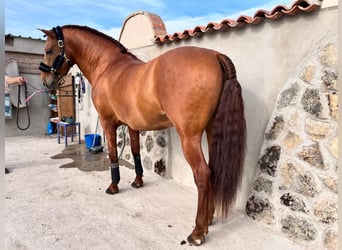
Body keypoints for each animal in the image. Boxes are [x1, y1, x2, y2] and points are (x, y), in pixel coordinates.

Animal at [39, 25, 246, 246]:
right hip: (210, 130)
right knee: (213, 171)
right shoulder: (132, 126)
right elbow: (136, 152)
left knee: (203, 174)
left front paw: (113, 186)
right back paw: (209, 219)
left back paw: (198, 232)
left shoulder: (107, 123)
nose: (45, 82)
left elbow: (113, 154)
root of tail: (215, 55)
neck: (108, 66)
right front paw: (138, 181)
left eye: (49, 50)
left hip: (189, 138)